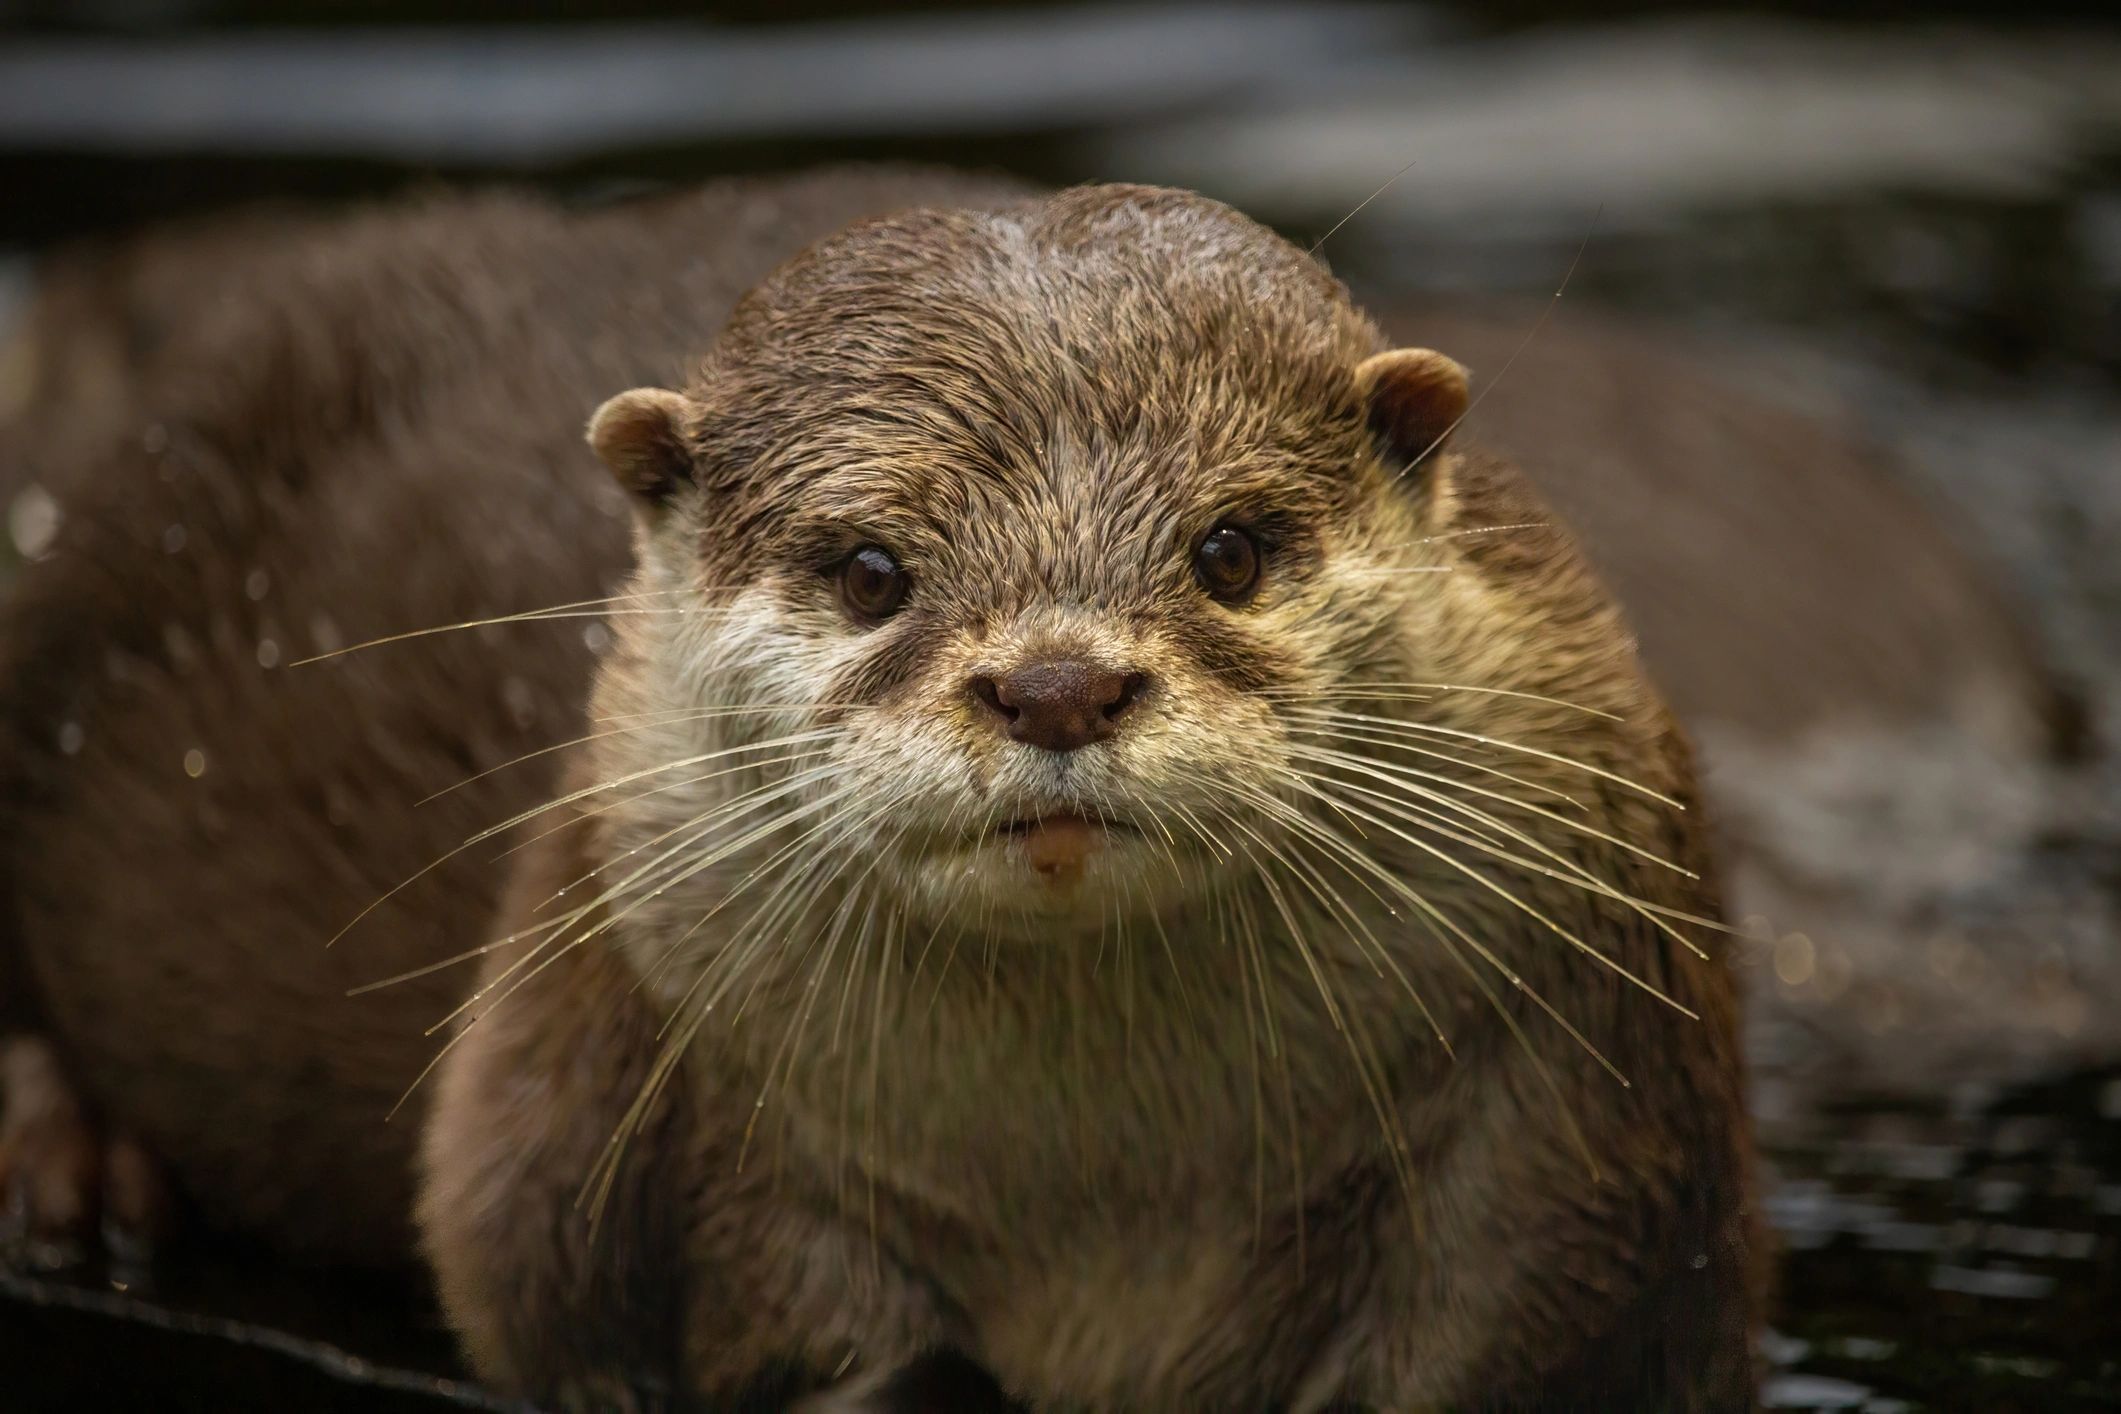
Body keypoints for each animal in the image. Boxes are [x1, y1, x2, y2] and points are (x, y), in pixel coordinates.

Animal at [1, 171, 1756, 1410]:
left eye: (1231, 548)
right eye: (869, 570)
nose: (1056, 682)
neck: (1102, 1201)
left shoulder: (1573, 1101)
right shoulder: (607, 1103)